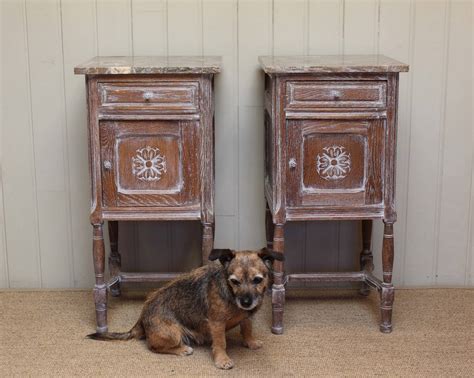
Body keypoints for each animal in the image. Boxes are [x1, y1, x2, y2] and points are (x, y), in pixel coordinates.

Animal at [87, 248, 284, 370]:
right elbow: (220, 343)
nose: (246, 302)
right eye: (234, 281)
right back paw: (182, 349)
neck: (231, 295)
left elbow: (247, 328)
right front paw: (222, 360)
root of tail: (141, 318)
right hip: (173, 333)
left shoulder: (247, 317)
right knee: (153, 346)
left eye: (257, 280)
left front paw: (250, 342)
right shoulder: (217, 323)